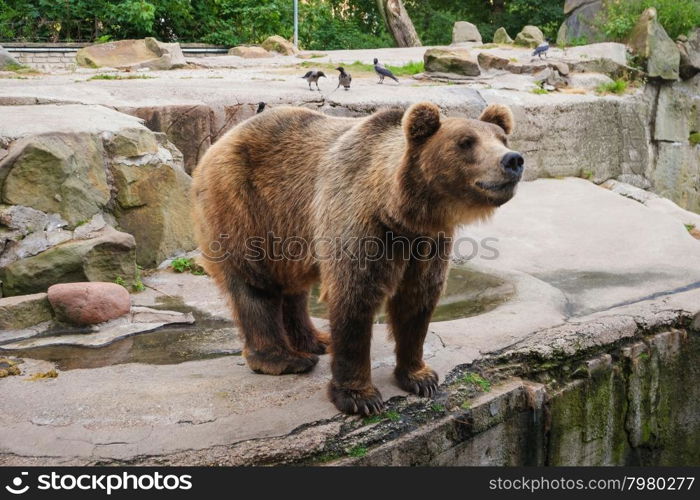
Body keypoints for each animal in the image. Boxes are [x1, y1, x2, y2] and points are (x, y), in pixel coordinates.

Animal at [191, 100, 520, 414]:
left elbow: (418, 298)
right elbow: (355, 296)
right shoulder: (359, 220)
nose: (513, 160)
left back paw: (317, 341)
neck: (401, 211)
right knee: (254, 280)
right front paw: (359, 397)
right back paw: (284, 358)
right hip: (246, 205)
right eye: (466, 142)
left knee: (293, 285)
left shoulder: (428, 242)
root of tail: (219, 141)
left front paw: (420, 377)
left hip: (291, 230)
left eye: (502, 138)